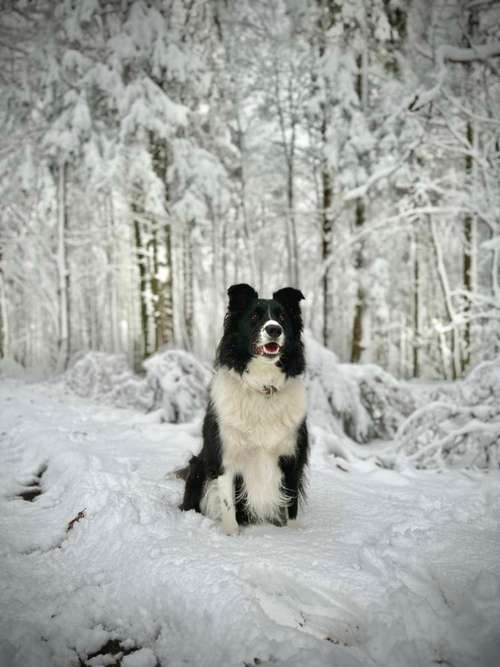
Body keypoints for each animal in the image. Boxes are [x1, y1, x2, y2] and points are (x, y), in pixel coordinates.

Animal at [180, 284, 308, 536]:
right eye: (254, 317)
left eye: (282, 317)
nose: (274, 329)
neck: (263, 387)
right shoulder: (225, 458)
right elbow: (228, 505)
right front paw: (232, 536)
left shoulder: (292, 457)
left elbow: (292, 504)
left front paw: (293, 534)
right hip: (198, 465)